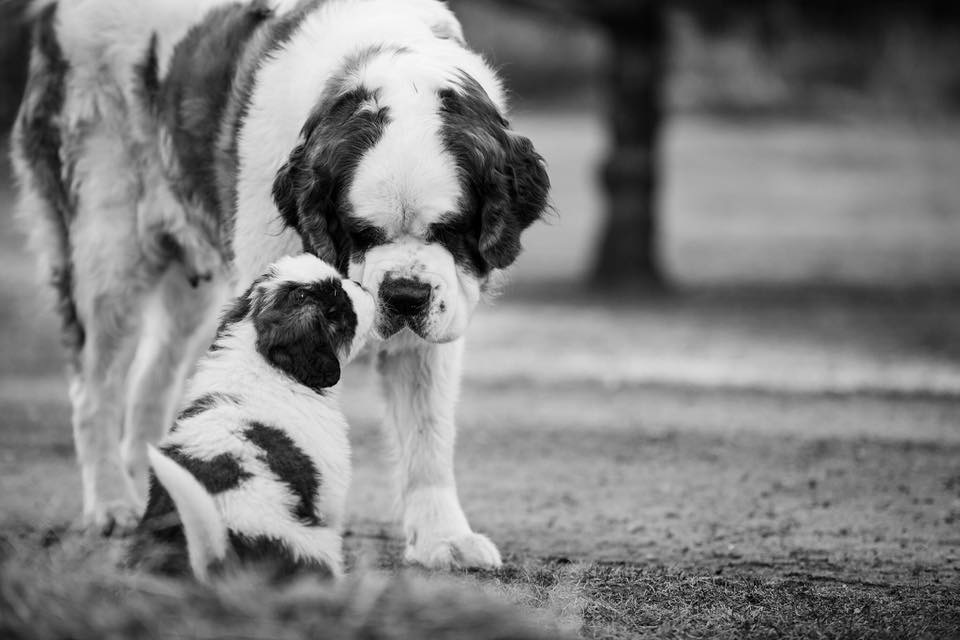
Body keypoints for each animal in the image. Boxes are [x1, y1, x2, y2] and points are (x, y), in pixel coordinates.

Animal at [13, 0, 548, 568]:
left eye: (451, 230)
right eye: (360, 232)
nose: (404, 295)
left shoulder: (432, 328)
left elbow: (428, 433)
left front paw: (443, 538)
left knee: (152, 377)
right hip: (108, 248)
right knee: (95, 385)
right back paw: (112, 504)